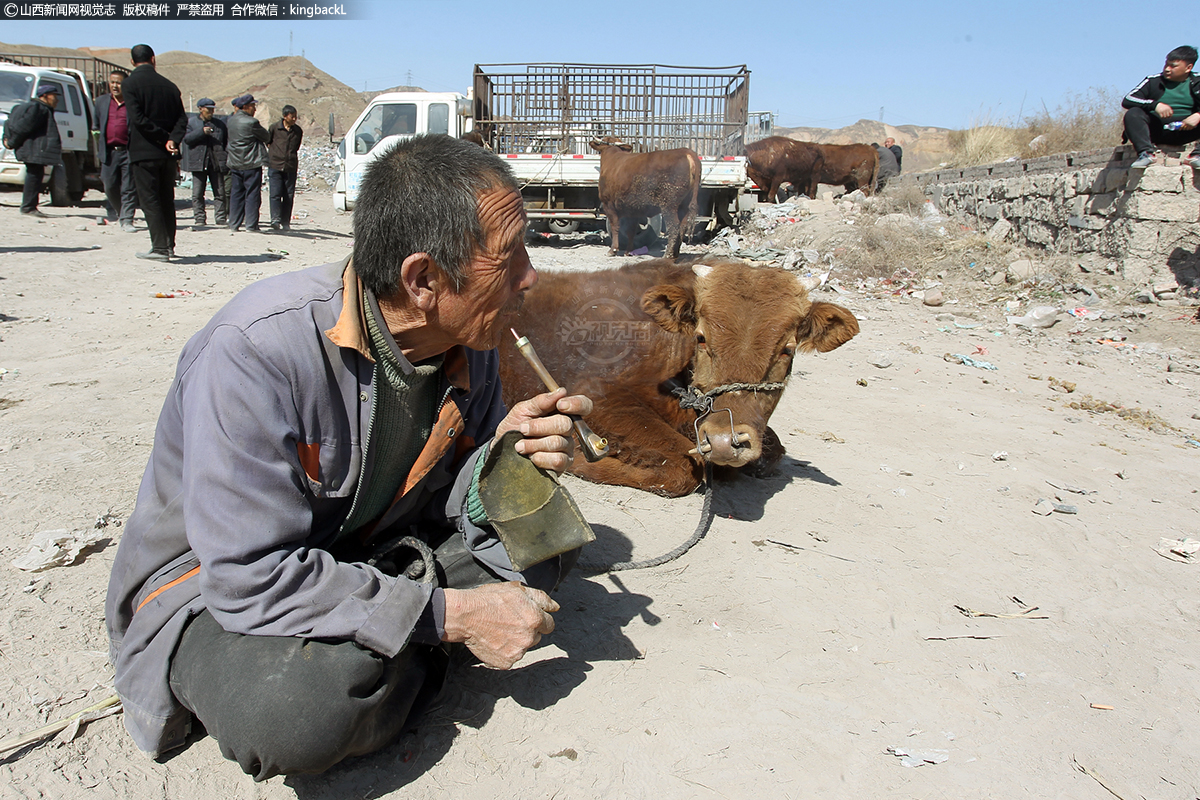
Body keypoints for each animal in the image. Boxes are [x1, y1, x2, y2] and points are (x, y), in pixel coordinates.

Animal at [499, 257, 864, 494]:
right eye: (701, 338)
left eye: (787, 349)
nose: (723, 440)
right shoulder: (597, 394)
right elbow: (681, 467)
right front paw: (578, 461)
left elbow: (772, 451)